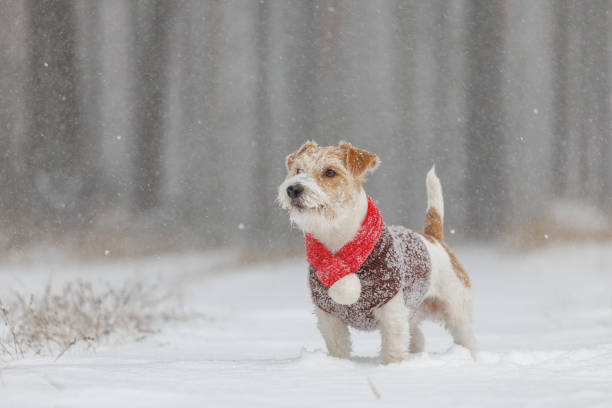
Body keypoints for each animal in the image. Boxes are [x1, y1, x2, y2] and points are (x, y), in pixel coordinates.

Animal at [278, 141, 478, 364]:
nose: (293, 188)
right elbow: (338, 348)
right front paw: (339, 364)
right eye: (298, 170)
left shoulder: (391, 310)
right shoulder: (329, 316)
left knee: (466, 338)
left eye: (330, 172)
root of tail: (433, 237)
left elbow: (393, 348)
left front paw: (392, 368)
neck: (338, 241)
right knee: (417, 337)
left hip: (456, 310)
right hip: (413, 314)